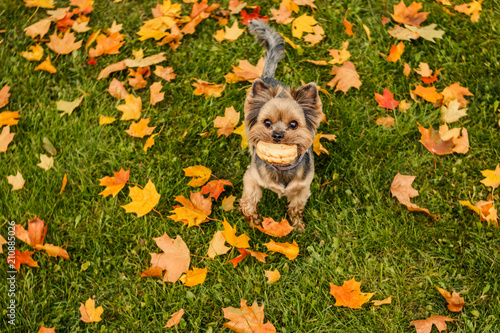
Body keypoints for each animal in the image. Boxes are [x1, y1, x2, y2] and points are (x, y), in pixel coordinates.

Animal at [239, 18, 324, 231]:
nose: (277, 135)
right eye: (267, 123)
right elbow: (249, 199)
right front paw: (252, 220)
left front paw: (298, 225)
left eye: (293, 124)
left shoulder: (303, 187)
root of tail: (269, 78)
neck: (282, 168)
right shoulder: (251, 177)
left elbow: (296, 206)